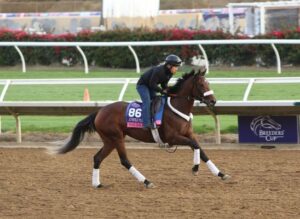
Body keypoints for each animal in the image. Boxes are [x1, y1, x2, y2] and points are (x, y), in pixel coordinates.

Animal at [53, 68, 230, 188]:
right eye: (201, 84)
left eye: (208, 83)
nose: (213, 101)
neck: (177, 107)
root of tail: (99, 111)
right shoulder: (173, 137)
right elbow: (195, 146)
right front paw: (195, 168)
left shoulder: (188, 134)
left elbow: (201, 150)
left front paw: (221, 174)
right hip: (116, 137)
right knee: (124, 160)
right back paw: (146, 181)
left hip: (110, 140)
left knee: (97, 158)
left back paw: (97, 184)